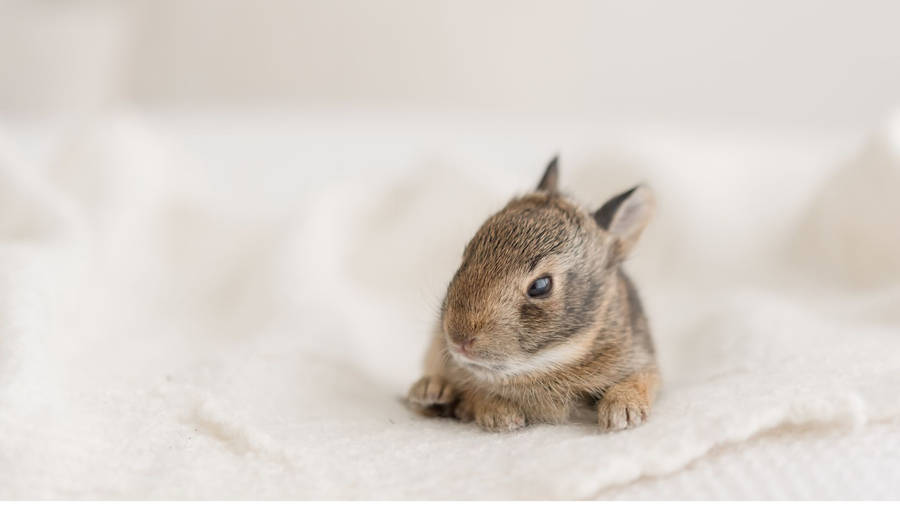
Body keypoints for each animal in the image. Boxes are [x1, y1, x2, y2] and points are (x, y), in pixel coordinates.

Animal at [407, 156, 660, 432]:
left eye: (540, 286)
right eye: (467, 255)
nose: (458, 338)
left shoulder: (643, 360)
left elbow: (643, 379)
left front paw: (622, 412)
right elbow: (476, 393)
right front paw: (500, 415)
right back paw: (432, 392)